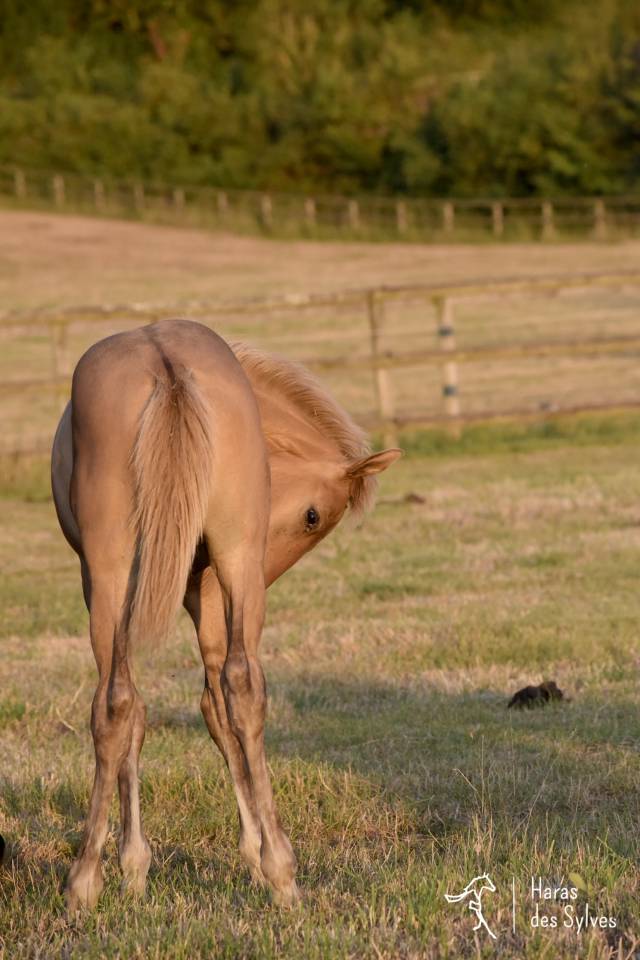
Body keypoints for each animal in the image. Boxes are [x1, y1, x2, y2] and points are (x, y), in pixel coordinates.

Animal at [50, 318, 400, 912]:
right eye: (313, 517)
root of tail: (167, 365)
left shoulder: (170, 584)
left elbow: (159, 712)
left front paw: (134, 863)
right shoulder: (209, 587)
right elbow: (216, 703)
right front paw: (254, 856)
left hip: (117, 570)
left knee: (115, 700)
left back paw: (85, 879)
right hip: (234, 559)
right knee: (239, 684)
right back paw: (282, 872)